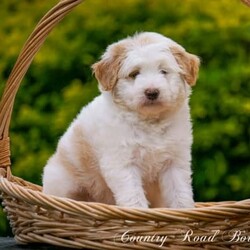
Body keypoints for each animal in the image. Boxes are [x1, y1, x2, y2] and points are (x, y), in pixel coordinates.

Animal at [42, 32, 199, 209]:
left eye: (163, 71)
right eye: (134, 74)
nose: (152, 92)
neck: (149, 122)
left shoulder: (176, 161)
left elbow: (180, 193)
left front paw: (183, 211)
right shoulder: (122, 163)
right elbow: (133, 196)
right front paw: (138, 213)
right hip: (62, 183)